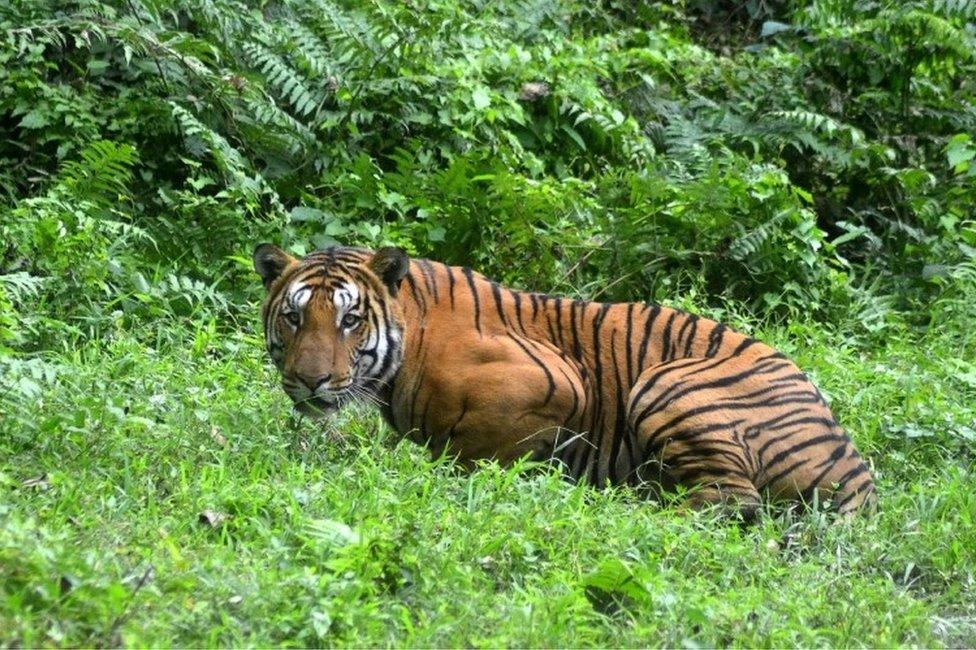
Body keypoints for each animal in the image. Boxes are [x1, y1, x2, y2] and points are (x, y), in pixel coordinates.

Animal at [252, 243, 876, 516]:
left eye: (350, 320)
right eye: (294, 317)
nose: (310, 381)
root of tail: (856, 472)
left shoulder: (557, 381)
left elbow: (477, 451)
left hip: (666, 383)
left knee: (732, 501)